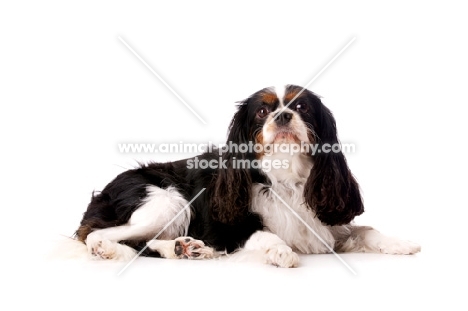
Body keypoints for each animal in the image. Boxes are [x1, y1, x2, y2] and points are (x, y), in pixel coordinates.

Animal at [76, 85, 420, 268]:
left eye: (302, 107)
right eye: (262, 112)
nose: (283, 116)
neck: (286, 177)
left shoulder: (331, 224)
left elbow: (367, 230)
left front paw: (399, 243)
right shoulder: (230, 226)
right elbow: (263, 234)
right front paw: (281, 251)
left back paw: (186, 248)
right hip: (167, 200)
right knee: (98, 235)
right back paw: (108, 249)